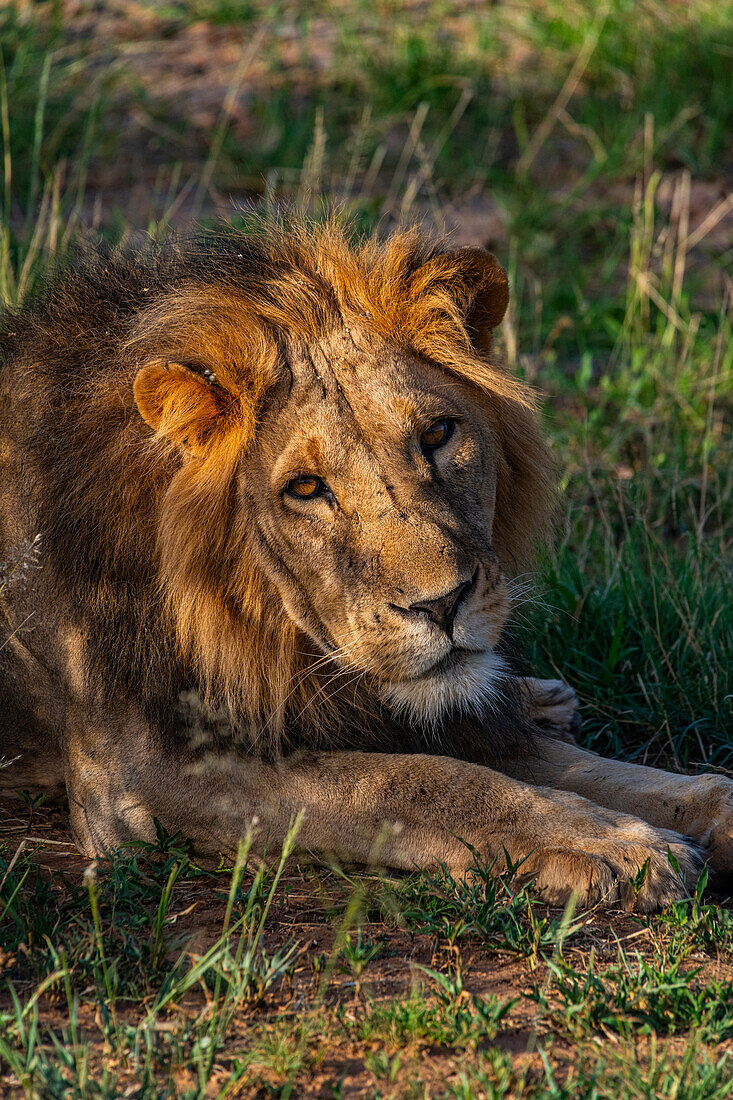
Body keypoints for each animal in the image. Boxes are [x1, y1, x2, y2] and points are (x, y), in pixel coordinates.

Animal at [1, 216, 730, 910]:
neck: (265, 631)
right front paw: (615, 847)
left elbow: (600, 772)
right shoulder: (143, 778)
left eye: (437, 434)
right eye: (304, 488)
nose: (442, 605)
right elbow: (415, 781)